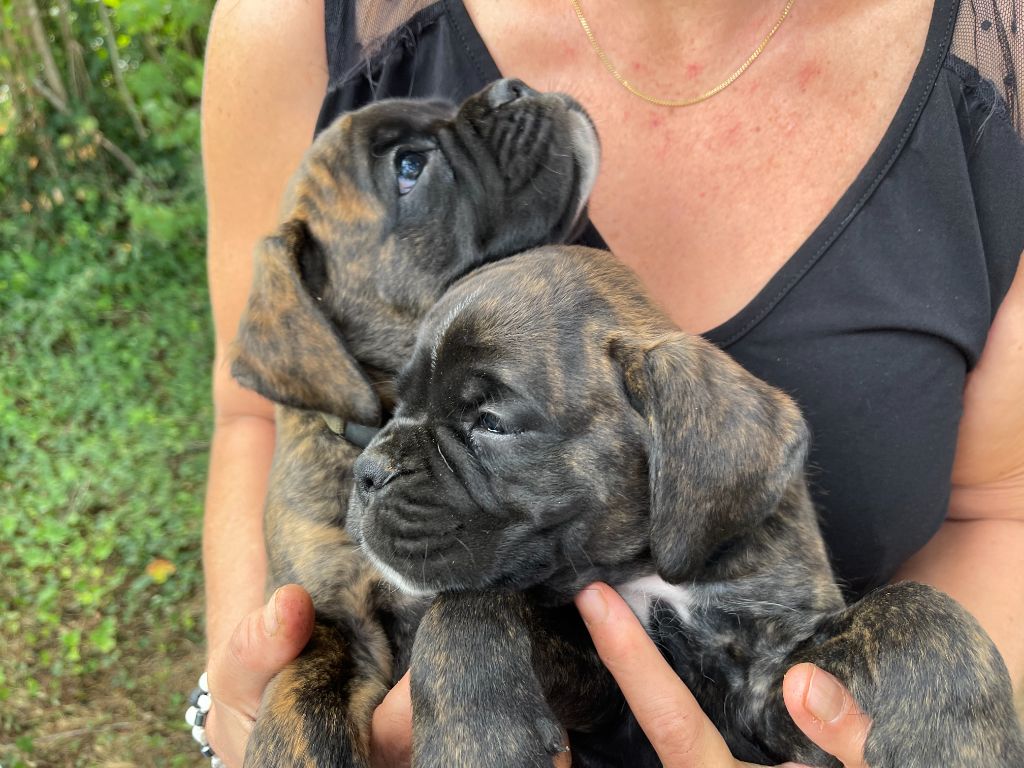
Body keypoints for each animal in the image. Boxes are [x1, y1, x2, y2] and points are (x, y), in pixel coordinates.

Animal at [230, 80, 600, 766]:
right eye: (408, 166)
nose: (511, 87)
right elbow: (300, 676)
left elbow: (471, 599)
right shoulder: (329, 617)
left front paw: (480, 735)